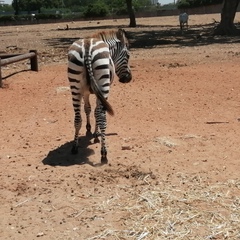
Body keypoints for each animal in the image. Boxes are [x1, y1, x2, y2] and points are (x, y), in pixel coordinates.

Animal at [67, 27, 131, 163]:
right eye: (128, 55)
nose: (128, 78)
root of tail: (87, 45)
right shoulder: (99, 91)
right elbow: (96, 112)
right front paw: (96, 135)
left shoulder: (85, 91)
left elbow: (88, 109)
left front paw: (89, 128)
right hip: (103, 84)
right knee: (102, 117)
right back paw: (104, 153)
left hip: (75, 86)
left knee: (77, 118)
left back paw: (75, 147)